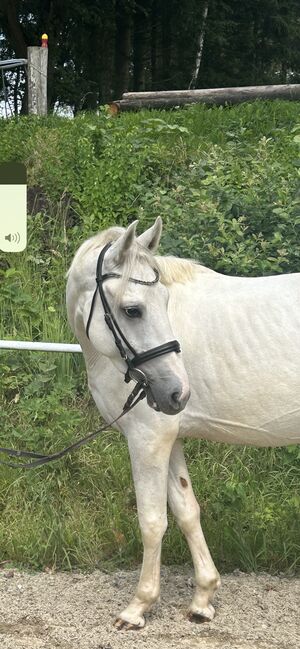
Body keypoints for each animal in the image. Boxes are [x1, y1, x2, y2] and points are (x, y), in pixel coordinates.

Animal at [66, 216, 300, 628]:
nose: (178, 392)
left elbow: (152, 521)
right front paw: (203, 598)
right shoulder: (170, 437)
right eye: (133, 310)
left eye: (163, 302)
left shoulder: (147, 439)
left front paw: (138, 607)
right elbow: (187, 511)